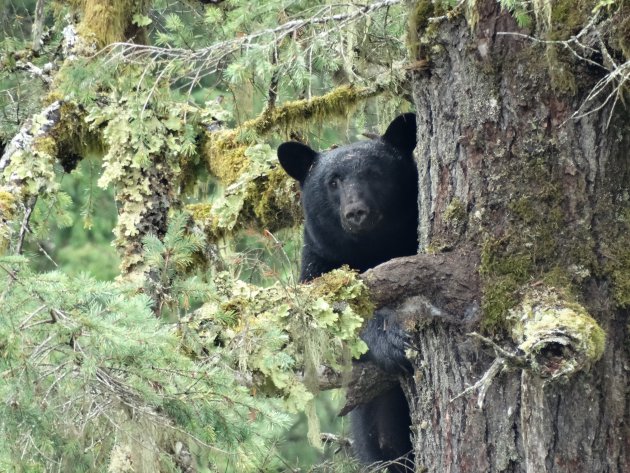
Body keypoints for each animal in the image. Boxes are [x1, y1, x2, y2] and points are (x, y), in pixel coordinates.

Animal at [280, 112, 420, 470]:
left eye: (374, 173)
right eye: (333, 182)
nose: (357, 212)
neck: (373, 251)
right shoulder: (319, 268)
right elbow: (327, 324)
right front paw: (390, 340)